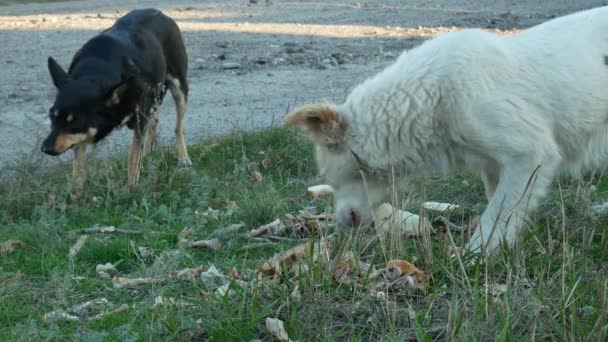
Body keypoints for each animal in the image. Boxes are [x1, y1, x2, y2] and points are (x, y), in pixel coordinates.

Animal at [41, 8, 190, 198]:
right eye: (52, 116)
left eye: (74, 122)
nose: (45, 149)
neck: (97, 70)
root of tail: (160, 13)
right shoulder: (82, 135)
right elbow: (78, 166)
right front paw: (75, 195)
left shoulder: (139, 119)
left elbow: (132, 157)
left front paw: (131, 189)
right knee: (154, 122)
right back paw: (148, 153)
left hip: (179, 87)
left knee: (178, 127)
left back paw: (183, 157)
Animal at [284, 6, 608, 255]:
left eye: (327, 174)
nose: (343, 223)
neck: (431, 95)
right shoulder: (494, 164)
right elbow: (499, 202)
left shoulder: (531, 155)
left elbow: (498, 211)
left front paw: (475, 254)